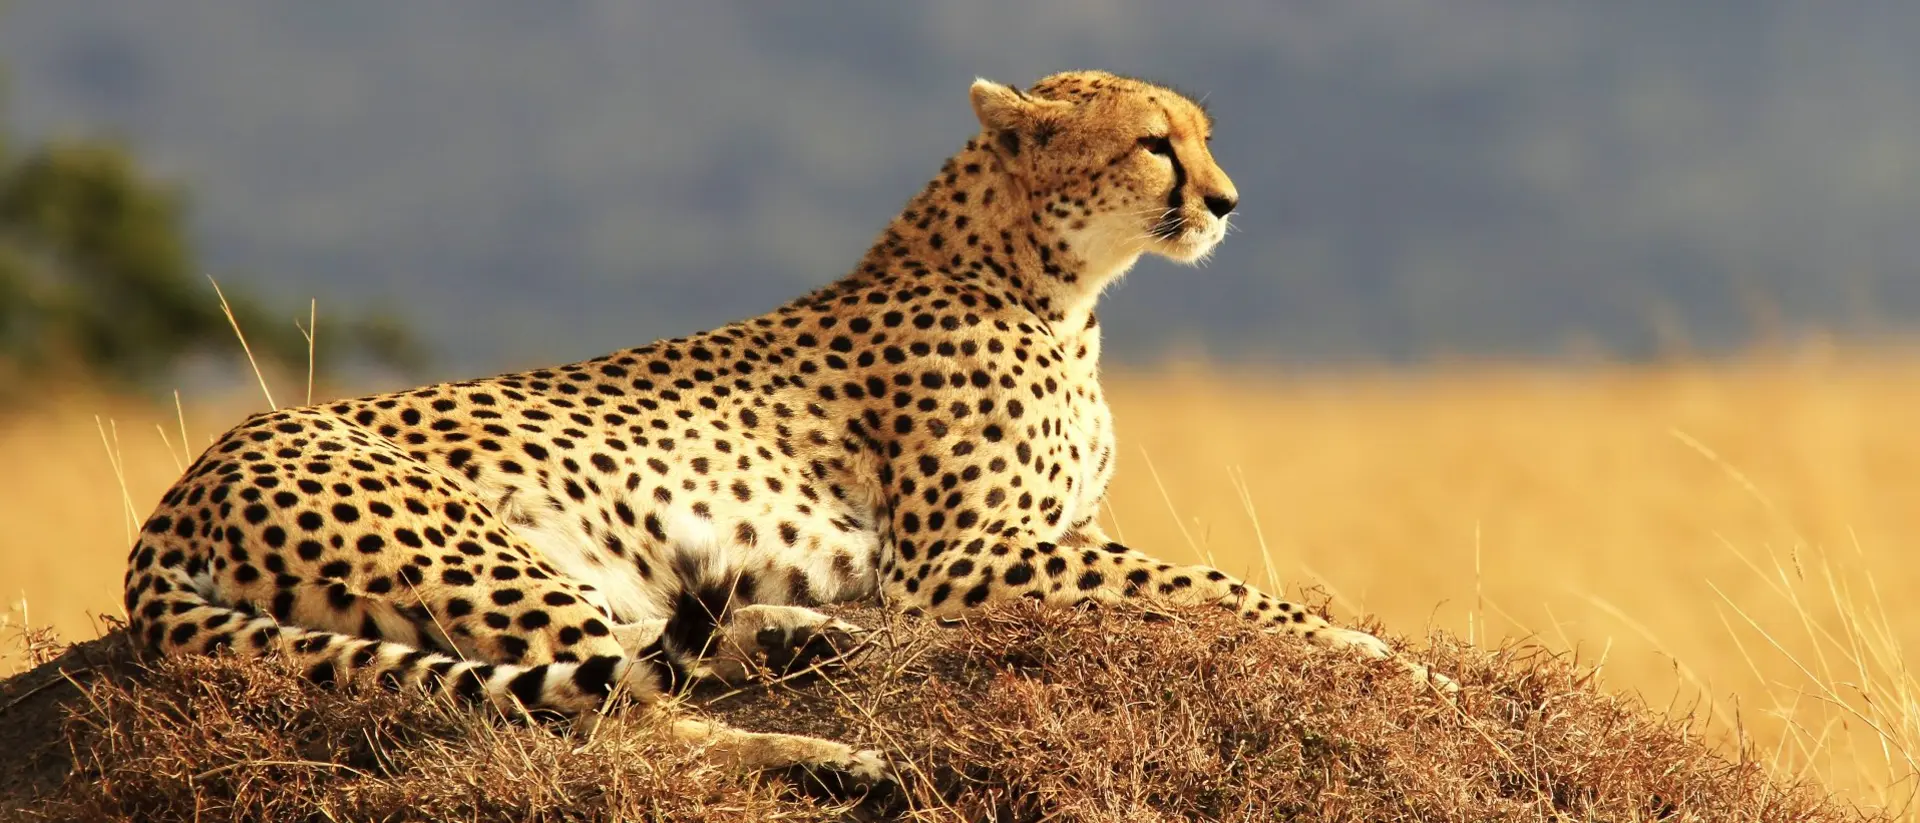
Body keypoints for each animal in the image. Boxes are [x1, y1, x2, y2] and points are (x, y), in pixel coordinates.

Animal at [122, 70, 1452, 794]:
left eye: (1205, 137)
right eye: (1155, 143)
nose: (1226, 201)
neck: (1051, 282)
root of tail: (182, 487)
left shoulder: (1032, 540)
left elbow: (1201, 581)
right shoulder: (961, 560)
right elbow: (1213, 584)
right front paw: (1390, 660)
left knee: (650, 653)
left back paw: (809, 643)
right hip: (482, 556)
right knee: (610, 722)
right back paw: (829, 755)